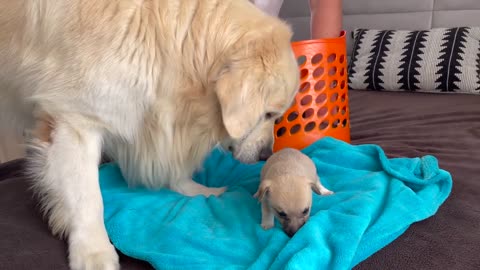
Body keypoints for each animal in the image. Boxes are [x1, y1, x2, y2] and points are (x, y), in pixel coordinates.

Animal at [0, 1, 300, 268]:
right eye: (269, 114)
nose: (266, 154)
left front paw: (200, 191)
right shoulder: (75, 121)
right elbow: (88, 198)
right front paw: (93, 252)